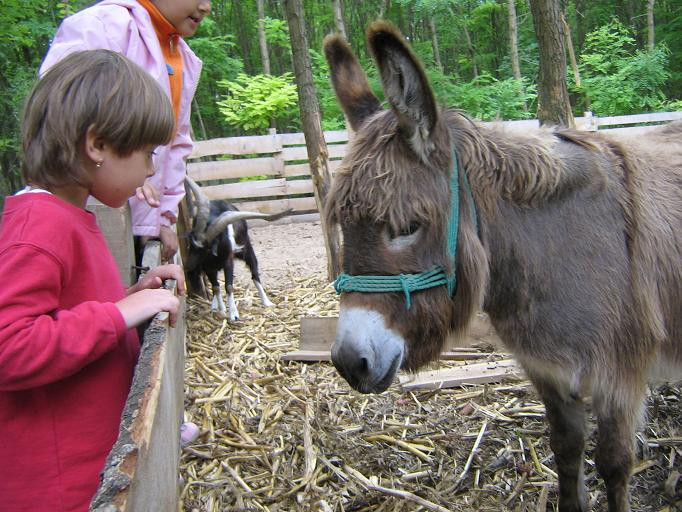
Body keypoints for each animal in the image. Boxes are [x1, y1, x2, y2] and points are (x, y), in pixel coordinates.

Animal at [182, 176, 288, 320]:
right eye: (191, 244)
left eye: (207, 249)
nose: (187, 266)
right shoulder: (208, 266)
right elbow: (216, 287)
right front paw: (221, 310)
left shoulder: (228, 261)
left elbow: (229, 286)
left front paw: (234, 314)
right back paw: (215, 305)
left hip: (247, 250)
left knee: (255, 275)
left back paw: (266, 302)